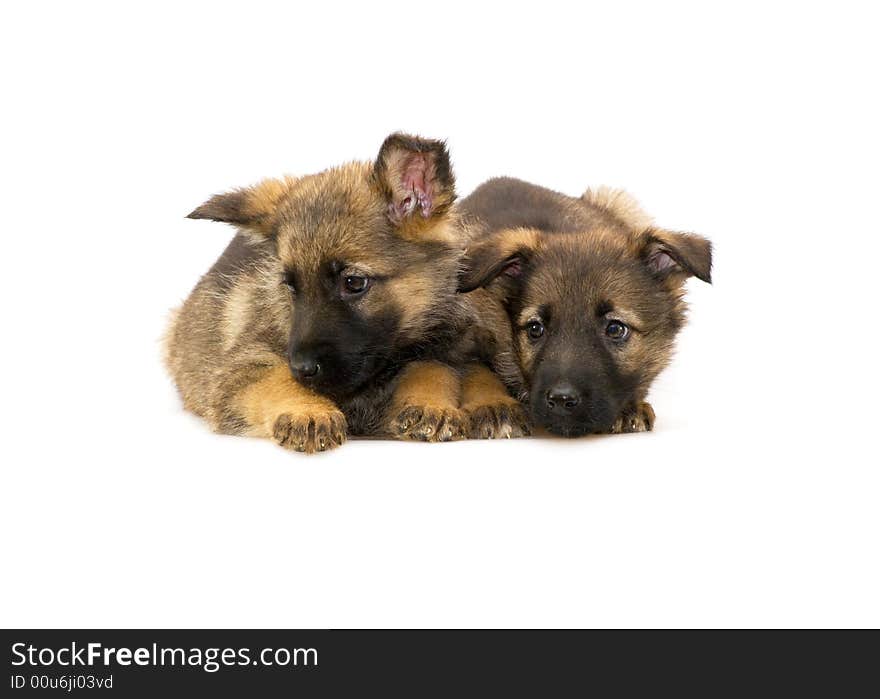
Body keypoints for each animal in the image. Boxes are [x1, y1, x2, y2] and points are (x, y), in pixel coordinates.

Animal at [164, 133, 482, 454]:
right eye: (291, 285)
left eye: (353, 282)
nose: (302, 368)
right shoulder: (242, 366)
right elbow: (275, 378)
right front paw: (307, 411)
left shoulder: (445, 347)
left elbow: (433, 369)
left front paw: (430, 403)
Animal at [458, 175, 712, 438]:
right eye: (535, 329)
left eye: (615, 329)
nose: (561, 400)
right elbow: (478, 370)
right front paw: (495, 406)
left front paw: (629, 406)